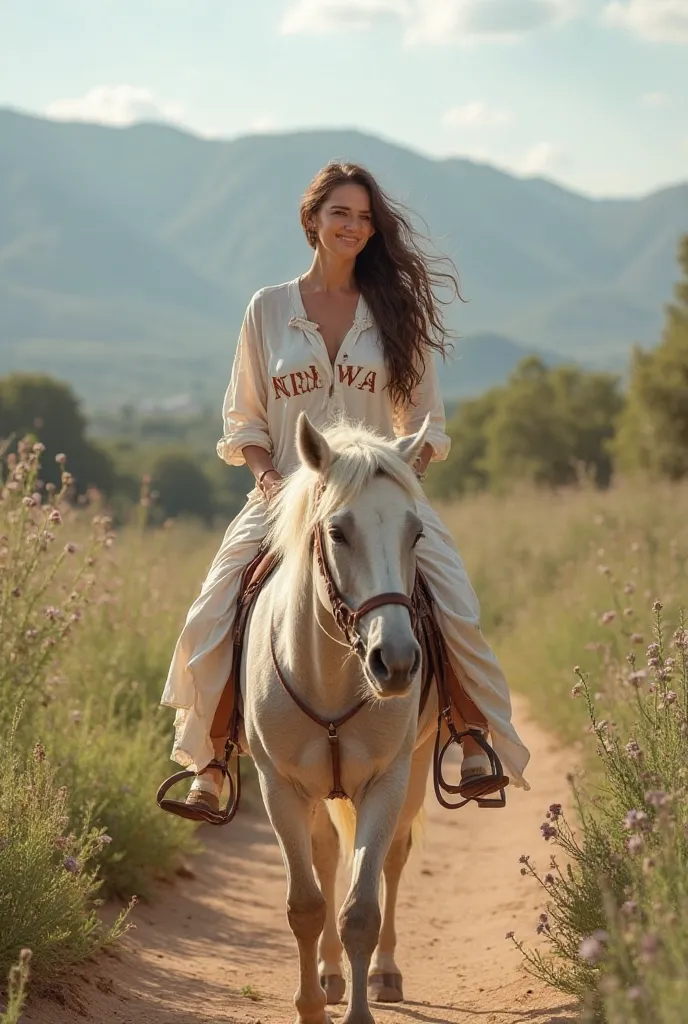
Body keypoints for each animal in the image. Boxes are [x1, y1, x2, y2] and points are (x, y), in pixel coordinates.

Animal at [244, 413, 440, 1024]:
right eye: (338, 532)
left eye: (415, 534)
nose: (395, 662)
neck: (330, 674)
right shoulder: (279, 787)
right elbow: (306, 904)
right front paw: (311, 1004)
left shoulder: (385, 783)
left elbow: (361, 910)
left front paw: (359, 1007)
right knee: (327, 859)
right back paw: (330, 975)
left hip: (412, 773)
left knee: (394, 859)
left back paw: (385, 973)